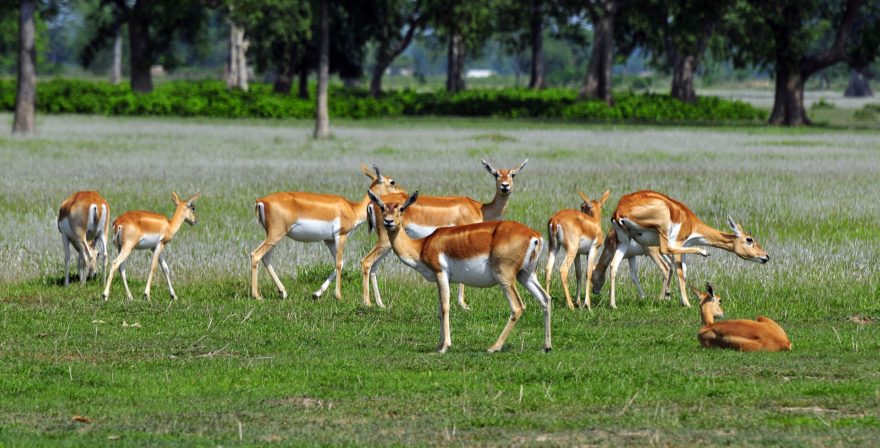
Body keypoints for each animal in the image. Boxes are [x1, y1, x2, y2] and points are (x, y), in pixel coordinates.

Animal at [249, 164, 404, 300]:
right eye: (392, 182)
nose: (404, 193)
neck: (352, 208)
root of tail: (261, 200)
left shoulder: (328, 240)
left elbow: (339, 263)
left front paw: (317, 293)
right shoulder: (341, 236)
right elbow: (339, 264)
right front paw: (339, 296)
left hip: (273, 237)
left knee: (266, 258)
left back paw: (283, 292)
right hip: (276, 235)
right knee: (256, 255)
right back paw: (257, 296)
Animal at [360, 159, 524, 310]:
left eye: (512, 174)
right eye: (496, 174)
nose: (505, 186)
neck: (479, 208)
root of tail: (373, 203)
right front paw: (463, 305)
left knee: (374, 267)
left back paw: (380, 304)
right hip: (385, 240)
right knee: (366, 262)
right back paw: (367, 303)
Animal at [366, 189, 552, 354]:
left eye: (401, 208)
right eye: (383, 207)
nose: (388, 222)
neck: (422, 245)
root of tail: (535, 236)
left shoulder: (441, 273)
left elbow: (445, 307)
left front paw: (445, 347)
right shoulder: (442, 279)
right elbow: (440, 308)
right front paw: (439, 344)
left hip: (505, 278)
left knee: (518, 307)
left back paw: (494, 347)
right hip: (525, 276)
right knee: (545, 298)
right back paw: (546, 346)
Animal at [604, 189, 768, 308]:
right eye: (749, 239)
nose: (766, 256)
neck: (690, 221)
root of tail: (619, 210)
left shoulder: (683, 247)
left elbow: (684, 272)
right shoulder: (678, 244)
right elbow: (680, 272)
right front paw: (687, 303)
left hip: (624, 242)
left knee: (613, 265)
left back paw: (613, 305)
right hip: (661, 232)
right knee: (664, 251)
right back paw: (703, 252)